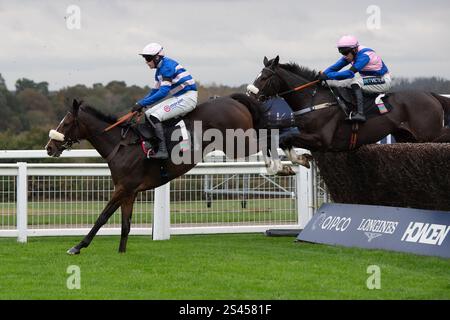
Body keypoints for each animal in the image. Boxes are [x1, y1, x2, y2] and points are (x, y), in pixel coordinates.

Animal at [44, 94, 262, 254]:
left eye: (65, 124)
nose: (49, 147)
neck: (121, 145)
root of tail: (232, 99)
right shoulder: (130, 191)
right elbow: (125, 224)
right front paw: (121, 252)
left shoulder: (123, 188)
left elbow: (102, 217)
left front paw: (78, 246)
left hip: (240, 143)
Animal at [248, 55, 450, 164]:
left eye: (264, 77)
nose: (250, 93)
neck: (314, 100)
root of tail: (431, 95)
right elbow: (282, 139)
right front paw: (299, 160)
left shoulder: (322, 140)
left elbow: (286, 138)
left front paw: (300, 160)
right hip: (406, 137)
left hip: (428, 134)